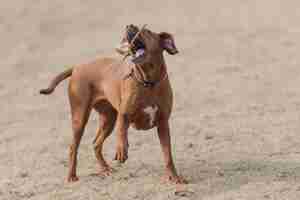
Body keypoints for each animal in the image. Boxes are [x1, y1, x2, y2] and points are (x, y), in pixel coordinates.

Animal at [39, 24, 185, 184]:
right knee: (73, 147)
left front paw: (174, 177)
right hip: (80, 117)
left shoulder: (163, 124)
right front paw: (121, 149)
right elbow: (122, 132)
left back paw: (105, 168)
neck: (149, 82)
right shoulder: (124, 114)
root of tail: (77, 67)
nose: (129, 25)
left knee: (96, 144)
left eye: (146, 31)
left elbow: (168, 154)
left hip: (108, 119)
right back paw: (72, 176)